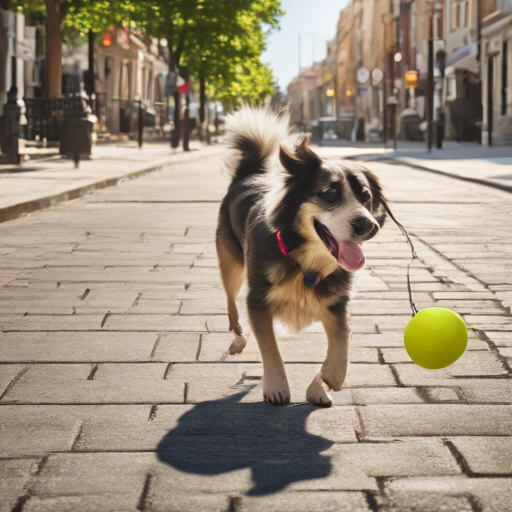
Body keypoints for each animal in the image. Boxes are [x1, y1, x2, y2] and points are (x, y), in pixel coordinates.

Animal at [216, 108, 388, 408]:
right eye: (330, 194)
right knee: (230, 301)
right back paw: (237, 339)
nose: (369, 226)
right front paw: (276, 387)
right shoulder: (258, 300)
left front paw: (322, 385)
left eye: (366, 196)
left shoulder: (337, 303)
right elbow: (270, 348)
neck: (303, 257)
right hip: (231, 263)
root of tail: (249, 175)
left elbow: (340, 354)